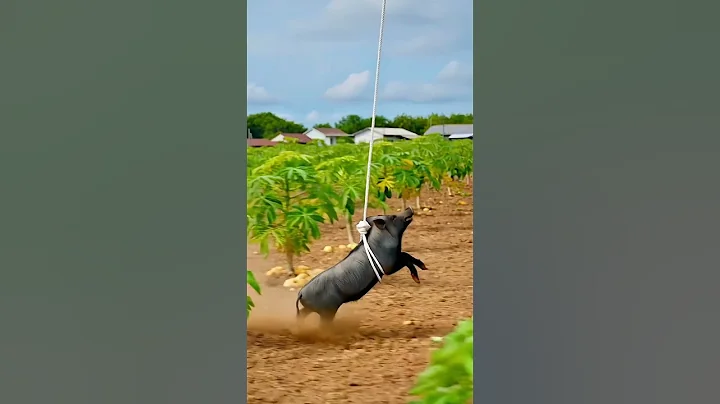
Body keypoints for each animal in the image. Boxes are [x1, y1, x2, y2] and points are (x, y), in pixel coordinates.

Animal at [295, 207, 428, 328]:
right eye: (393, 217)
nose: (408, 207)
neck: (381, 241)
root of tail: (300, 293)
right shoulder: (389, 266)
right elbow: (406, 258)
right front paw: (418, 278)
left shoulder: (396, 258)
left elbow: (407, 255)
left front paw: (424, 267)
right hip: (327, 311)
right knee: (322, 325)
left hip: (311, 308)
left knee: (302, 315)